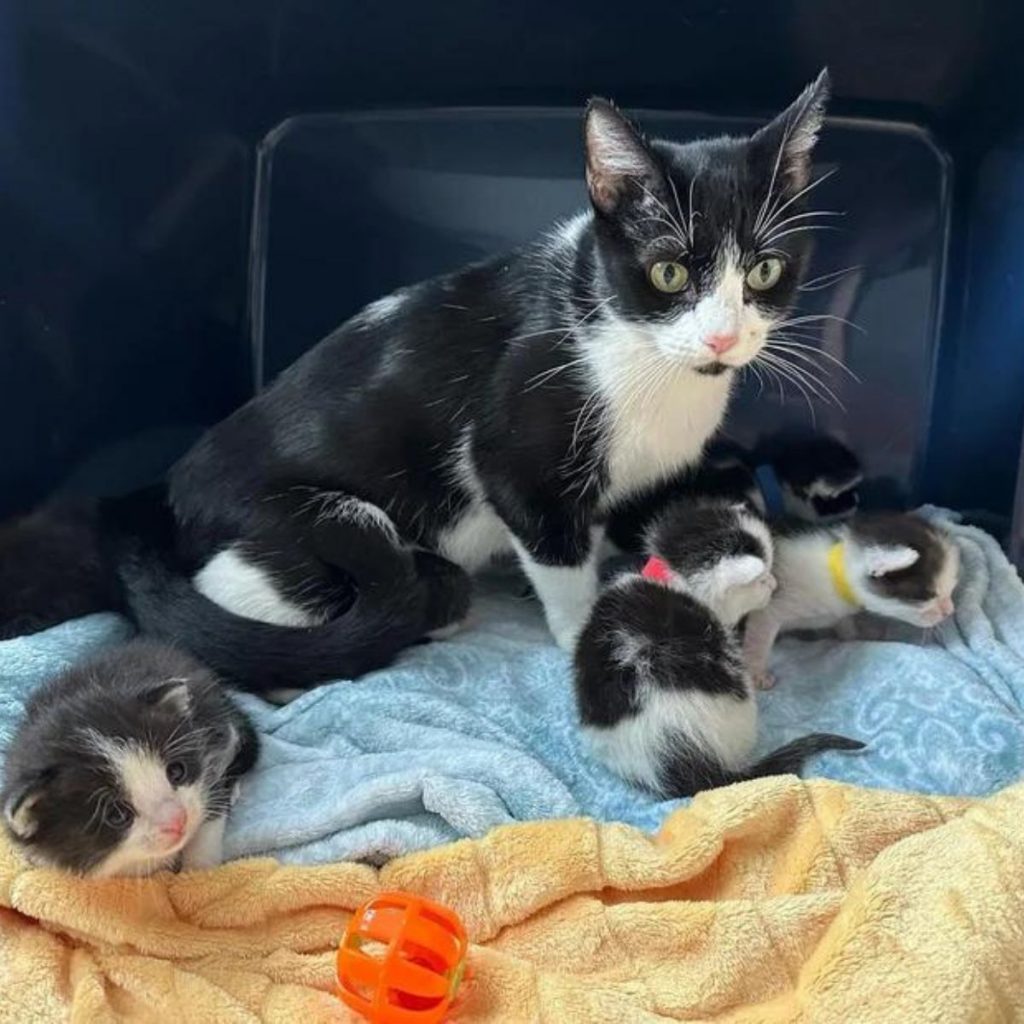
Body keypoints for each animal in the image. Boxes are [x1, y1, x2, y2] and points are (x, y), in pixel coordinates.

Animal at [2, 72, 831, 688]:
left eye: (763, 271)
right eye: (668, 273)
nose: (723, 336)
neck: (633, 341)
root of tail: (168, 492)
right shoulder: (517, 452)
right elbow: (553, 546)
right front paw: (584, 630)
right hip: (323, 531)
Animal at [745, 512, 958, 688]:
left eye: (951, 588)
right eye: (928, 595)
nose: (950, 610)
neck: (836, 581)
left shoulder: (840, 612)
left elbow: (845, 624)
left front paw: (855, 635)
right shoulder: (765, 609)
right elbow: (758, 638)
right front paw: (757, 674)